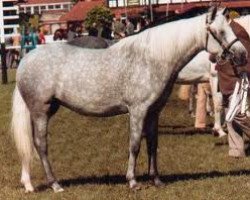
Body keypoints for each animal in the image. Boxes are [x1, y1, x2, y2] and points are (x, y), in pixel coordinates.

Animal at [12, 7, 248, 193]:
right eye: (220, 32)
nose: (242, 55)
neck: (151, 59)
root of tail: (26, 59)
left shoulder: (154, 112)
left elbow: (152, 144)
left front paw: (156, 180)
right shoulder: (137, 111)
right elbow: (134, 145)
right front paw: (133, 181)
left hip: (45, 110)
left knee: (29, 145)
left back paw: (28, 184)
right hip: (40, 111)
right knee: (40, 145)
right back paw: (55, 184)